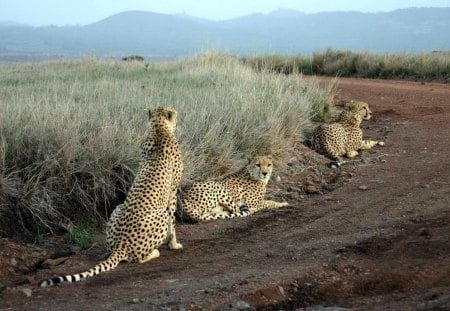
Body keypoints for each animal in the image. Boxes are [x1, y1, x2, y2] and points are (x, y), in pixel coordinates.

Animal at [38, 106, 183, 288]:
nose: (178, 118)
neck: (159, 129)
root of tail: (121, 244)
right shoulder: (173, 191)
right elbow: (173, 220)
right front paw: (174, 244)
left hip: (118, 208)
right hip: (159, 215)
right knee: (137, 258)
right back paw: (154, 252)